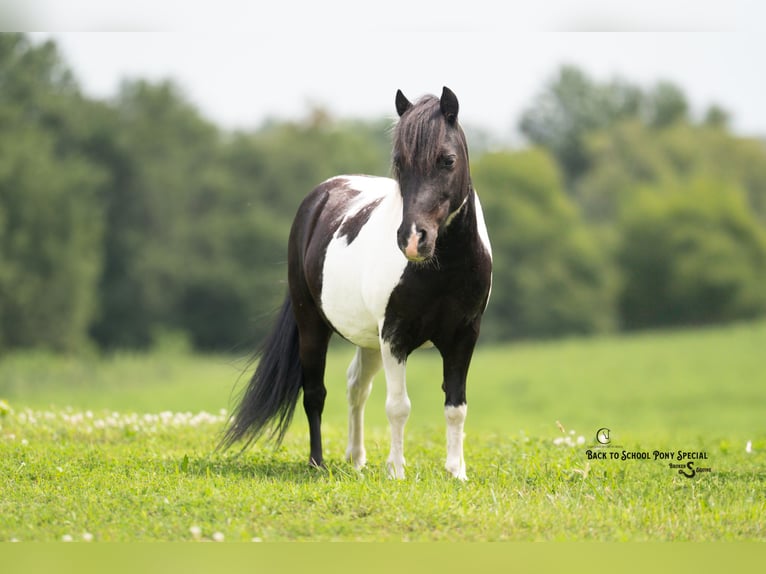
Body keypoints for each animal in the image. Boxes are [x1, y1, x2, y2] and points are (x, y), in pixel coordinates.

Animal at [219, 87, 492, 480]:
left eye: (447, 160)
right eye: (399, 162)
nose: (413, 239)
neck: (444, 268)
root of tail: (320, 197)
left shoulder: (463, 336)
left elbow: (456, 406)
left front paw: (456, 472)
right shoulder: (395, 336)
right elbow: (398, 406)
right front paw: (397, 471)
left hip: (368, 339)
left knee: (356, 387)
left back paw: (356, 458)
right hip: (312, 324)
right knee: (315, 393)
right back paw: (317, 462)